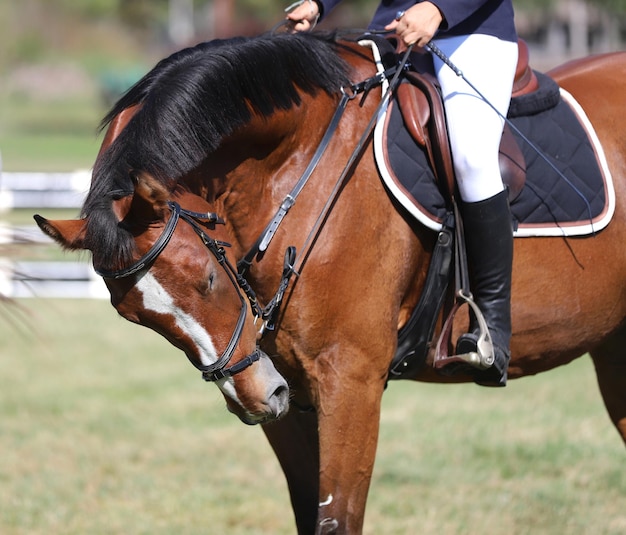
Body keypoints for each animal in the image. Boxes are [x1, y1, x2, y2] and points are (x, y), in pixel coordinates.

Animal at [36, 32, 624, 535]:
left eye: (207, 278)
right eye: (136, 317)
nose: (254, 399)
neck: (295, 172)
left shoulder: (351, 380)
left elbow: (337, 517)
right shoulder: (289, 391)